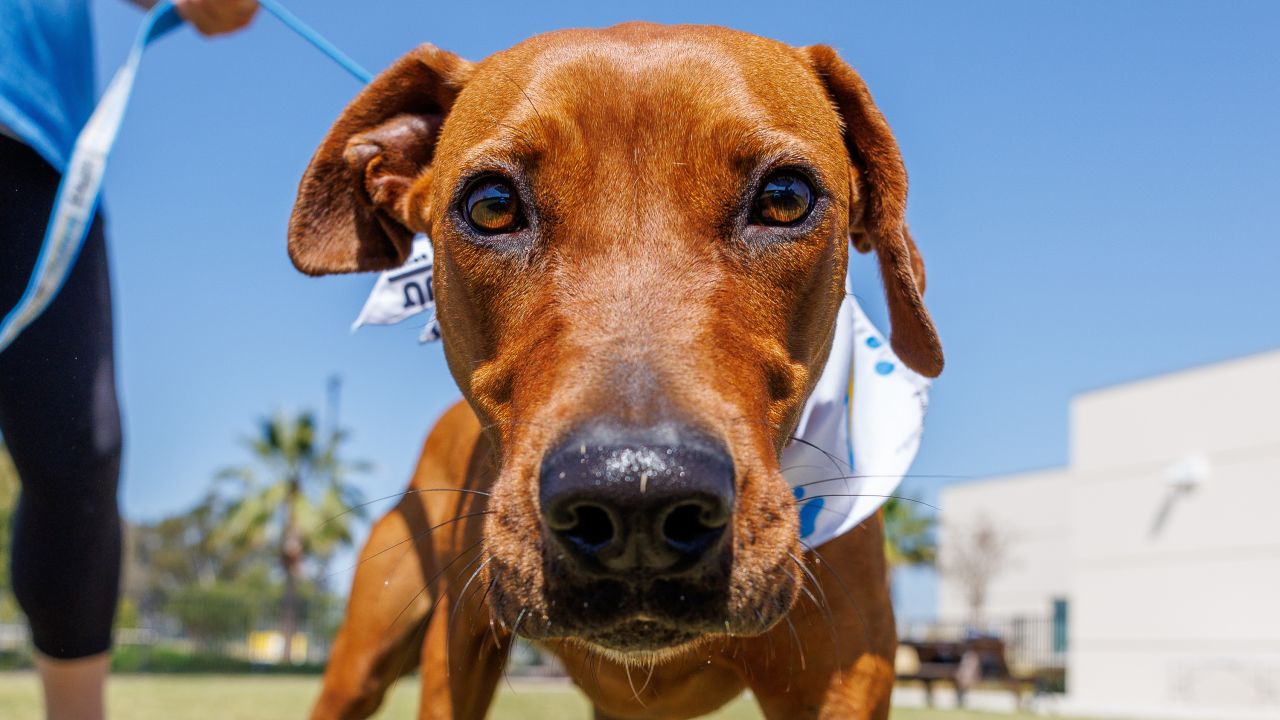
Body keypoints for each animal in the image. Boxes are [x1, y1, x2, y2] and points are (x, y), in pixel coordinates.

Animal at [285, 20, 942, 717]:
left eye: (785, 198)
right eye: (491, 204)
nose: (637, 499)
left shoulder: (846, 672)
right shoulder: (457, 647)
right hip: (365, 655)